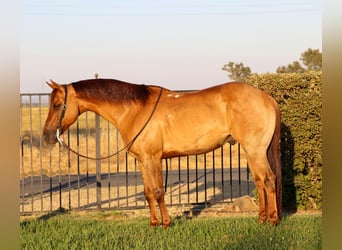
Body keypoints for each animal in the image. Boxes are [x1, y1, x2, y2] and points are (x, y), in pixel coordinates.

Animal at [42, 79, 282, 228]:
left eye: (57, 105)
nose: (47, 136)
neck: (135, 110)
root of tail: (266, 97)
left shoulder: (153, 158)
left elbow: (158, 191)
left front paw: (166, 223)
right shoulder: (143, 161)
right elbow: (148, 192)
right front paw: (154, 223)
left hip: (255, 150)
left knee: (269, 180)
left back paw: (273, 220)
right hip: (252, 151)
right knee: (260, 181)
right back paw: (262, 218)